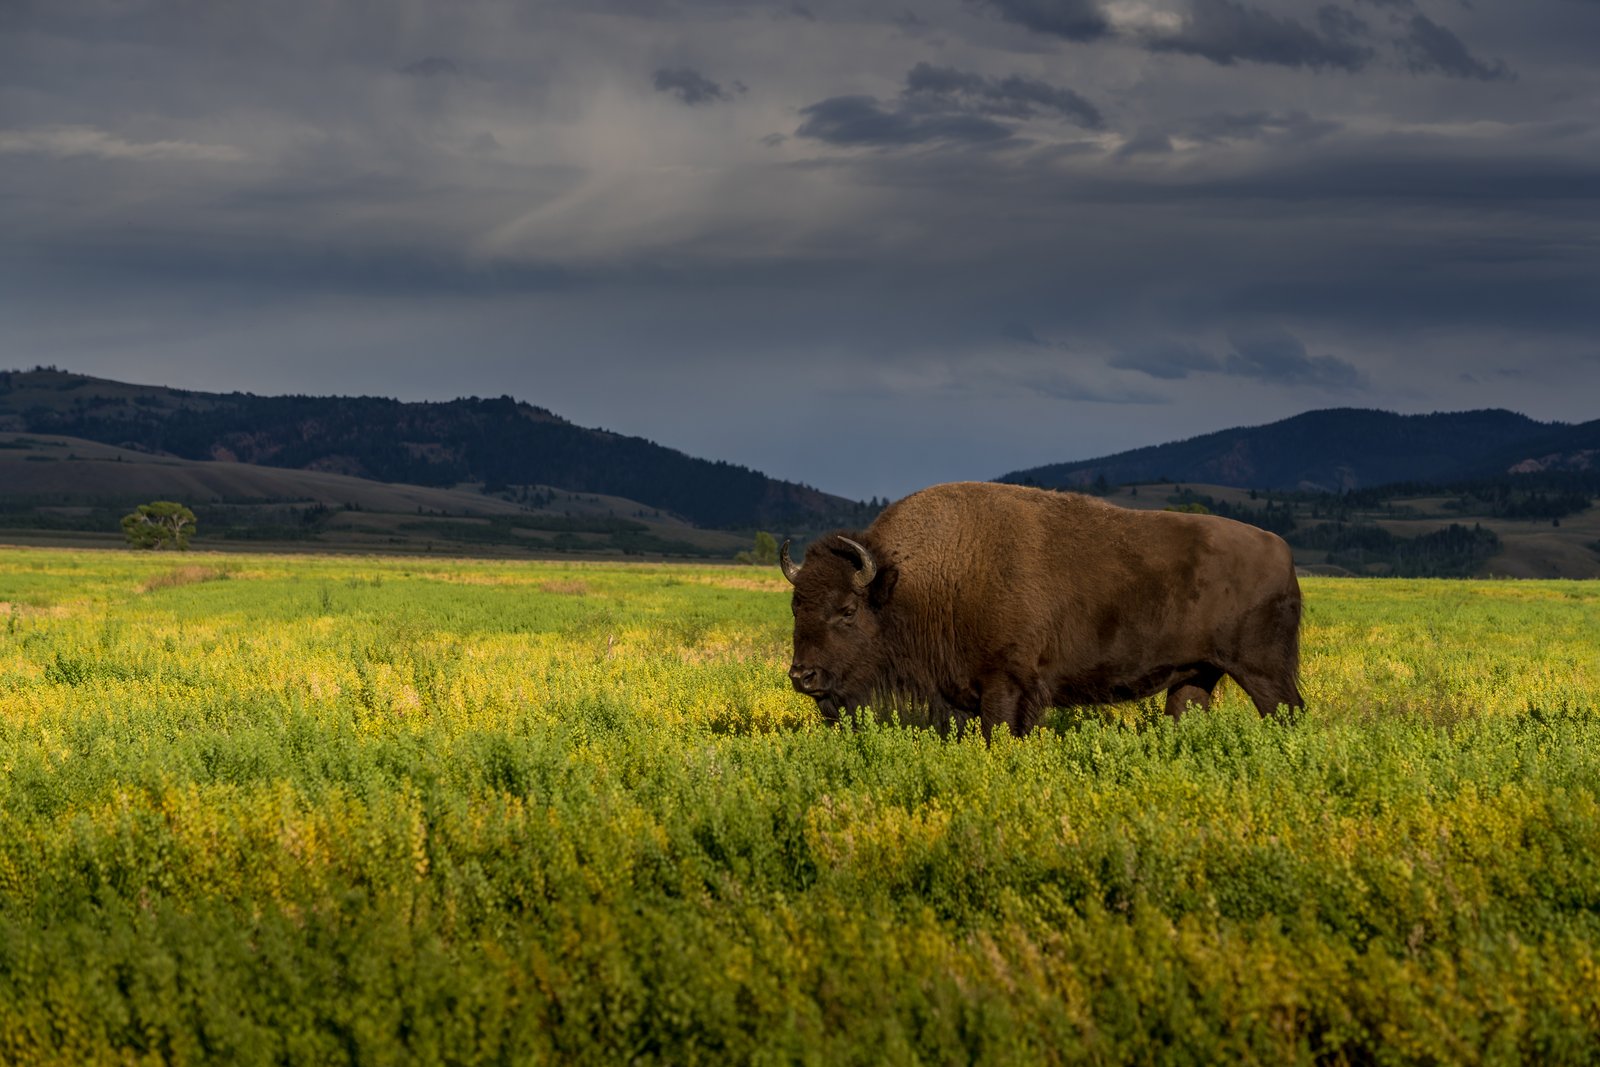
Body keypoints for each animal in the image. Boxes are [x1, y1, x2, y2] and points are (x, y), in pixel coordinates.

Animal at [781, 481, 1303, 738]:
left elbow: (1000, 732)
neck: (909, 580)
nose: (802, 677)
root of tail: (1282, 549)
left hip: (1262, 670)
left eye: (847, 609)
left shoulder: (1006, 686)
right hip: (1197, 674)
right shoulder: (961, 694)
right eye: (795, 607)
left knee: (1289, 711)